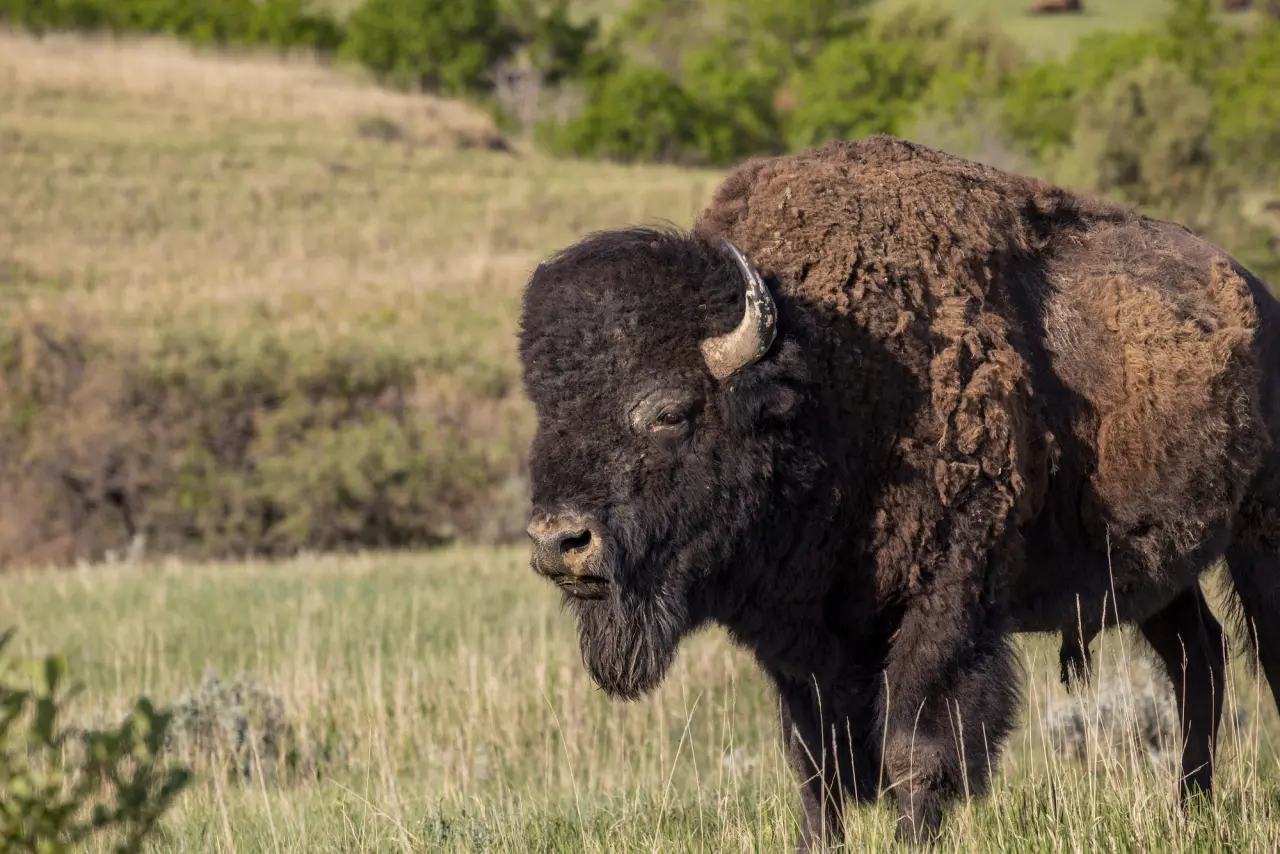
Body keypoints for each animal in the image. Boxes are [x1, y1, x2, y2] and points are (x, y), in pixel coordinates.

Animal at [516, 136, 1280, 849]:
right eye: (546, 410)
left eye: (669, 411)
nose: (560, 541)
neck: (833, 379)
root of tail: (1258, 295)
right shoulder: (801, 639)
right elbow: (816, 762)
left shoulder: (944, 600)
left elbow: (916, 747)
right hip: (1152, 571)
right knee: (1198, 658)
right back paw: (1189, 810)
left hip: (1259, 535)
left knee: (1253, 656)